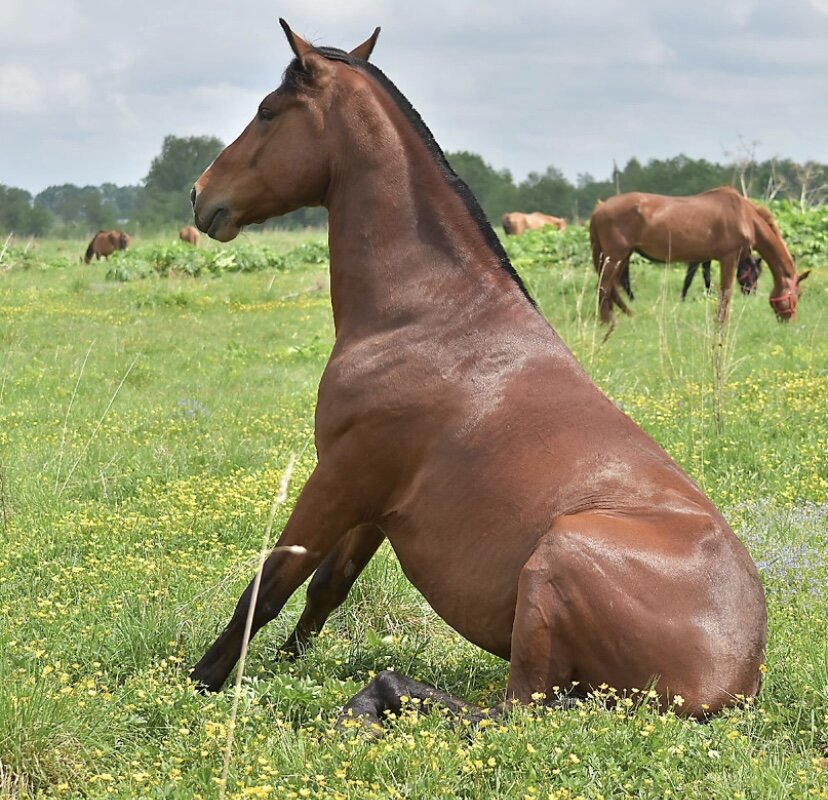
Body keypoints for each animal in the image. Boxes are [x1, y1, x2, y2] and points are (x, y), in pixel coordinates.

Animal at [191, 21, 768, 728]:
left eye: (269, 111)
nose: (200, 194)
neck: (431, 312)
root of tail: (734, 683)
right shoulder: (373, 501)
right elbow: (326, 587)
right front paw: (282, 668)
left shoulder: (340, 478)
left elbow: (271, 582)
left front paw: (201, 681)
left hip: (554, 564)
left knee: (513, 709)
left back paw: (377, 695)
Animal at [592, 189, 812, 326]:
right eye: (799, 294)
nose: (789, 322)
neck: (745, 216)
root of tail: (600, 208)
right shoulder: (728, 258)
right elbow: (725, 294)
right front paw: (720, 324)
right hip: (616, 256)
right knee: (604, 287)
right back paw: (608, 322)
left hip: (620, 257)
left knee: (612, 288)